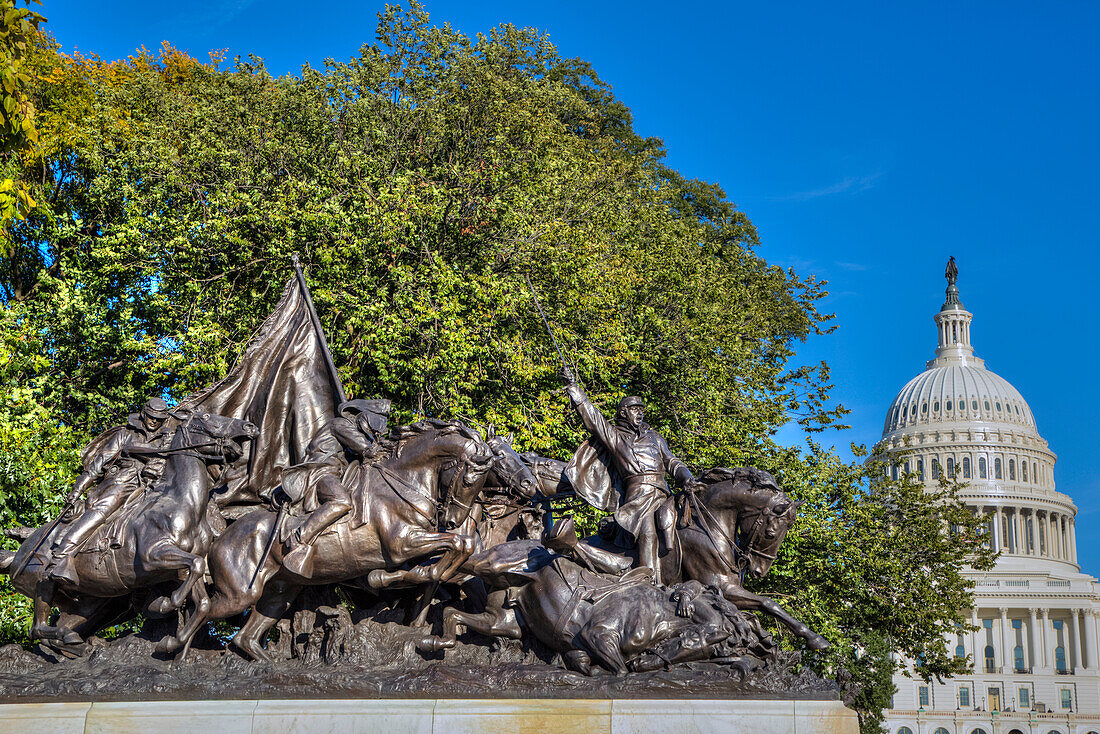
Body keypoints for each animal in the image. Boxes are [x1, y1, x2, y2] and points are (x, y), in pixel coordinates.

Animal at [0, 411, 256, 655]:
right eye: (206, 417)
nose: (250, 426)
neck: (183, 503)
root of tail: (20, 552)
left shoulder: (182, 570)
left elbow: (202, 599)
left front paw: (170, 643)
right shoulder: (153, 556)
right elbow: (194, 567)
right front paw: (167, 602)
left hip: (88, 600)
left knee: (57, 624)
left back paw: (76, 643)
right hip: (42, 583)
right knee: (38, 628)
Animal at [162, 418, 536, 660]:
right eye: (473, 475)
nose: (454, 518)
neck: (402, 482)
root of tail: (222, 537)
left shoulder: (419, 548)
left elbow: (449, 559)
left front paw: (411, 582)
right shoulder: (401, 543)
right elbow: (454, 549)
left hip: (277, 593)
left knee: (245, 638)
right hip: (239, 593)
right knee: (203, 609)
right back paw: (168, 637)